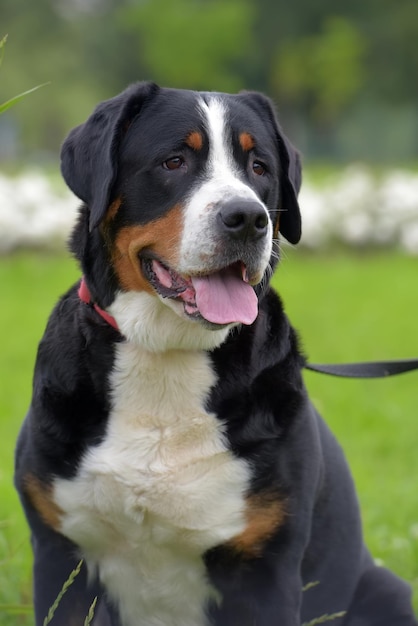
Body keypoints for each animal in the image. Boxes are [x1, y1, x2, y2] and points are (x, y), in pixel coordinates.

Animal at [14, 83, 416, 624]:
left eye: (259, 167)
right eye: (175, 161)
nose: (247, 218)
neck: (166, 356)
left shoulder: (265, 570)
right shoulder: (62, 556)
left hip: (383, 589)